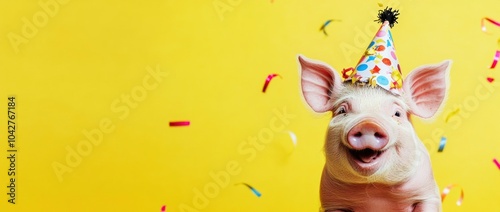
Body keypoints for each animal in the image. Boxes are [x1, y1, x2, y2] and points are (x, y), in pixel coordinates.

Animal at [298, 54, 452, 210]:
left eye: (397, 113)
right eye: (342, 111)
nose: (368, 124)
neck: (375, 187)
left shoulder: (428, 194)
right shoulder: (331, 201)